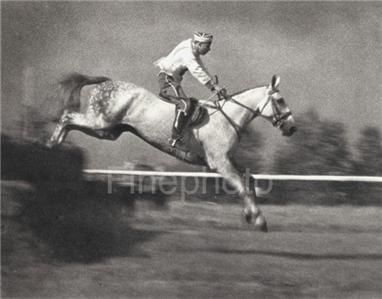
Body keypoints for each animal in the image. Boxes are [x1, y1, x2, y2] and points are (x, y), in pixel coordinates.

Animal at [47, 72, 296, 232]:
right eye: (280, 100)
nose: (292, 127)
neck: (227, 118)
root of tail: (107, 83)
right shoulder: (219, 164)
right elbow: (242, 186)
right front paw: (259, 220)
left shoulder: (228, 160)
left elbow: (249, 180)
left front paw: (250, 215)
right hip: (101, 122)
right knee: (67, 117)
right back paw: (52, 144)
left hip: (108, 131)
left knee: (70, 121)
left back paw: (56, 146)